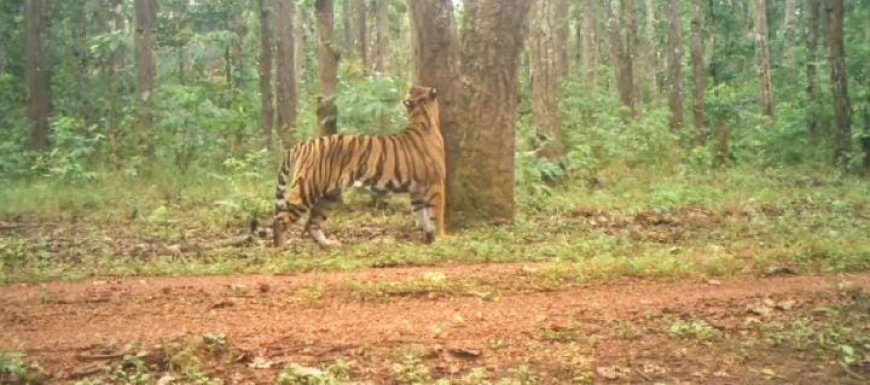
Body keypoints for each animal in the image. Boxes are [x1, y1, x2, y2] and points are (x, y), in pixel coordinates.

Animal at [272, 84, 450, 248]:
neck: (421, 117)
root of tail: (302, 144)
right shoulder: (436, 183)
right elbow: (437, 213)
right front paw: (442, 238)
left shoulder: (416, 191)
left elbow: (423, 216)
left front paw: (430, 238)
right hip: (307, 188)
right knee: (280, 219)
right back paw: (280, 248)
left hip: (330, 195)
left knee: (311, 224)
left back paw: (329, 244)